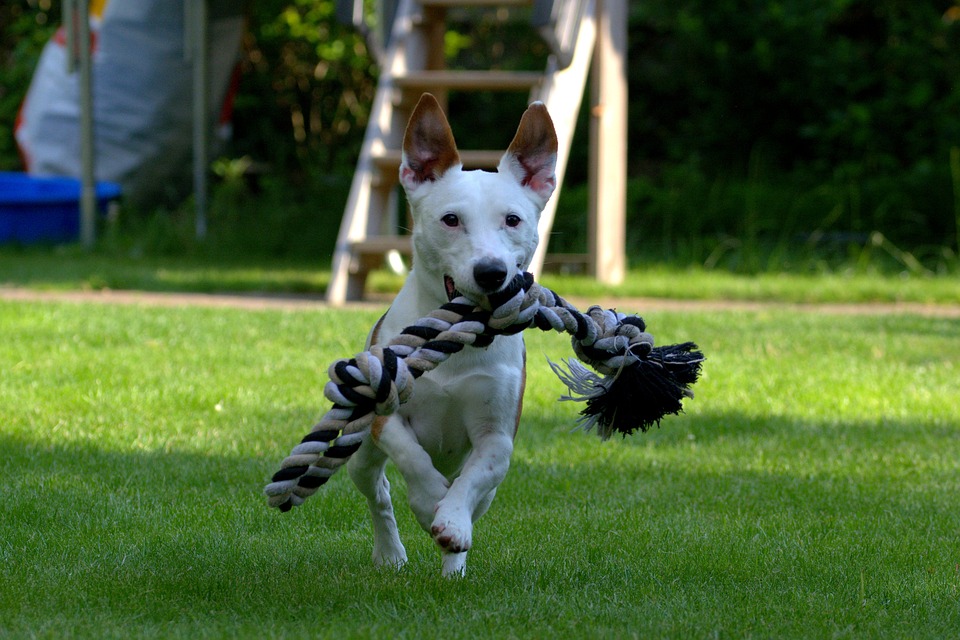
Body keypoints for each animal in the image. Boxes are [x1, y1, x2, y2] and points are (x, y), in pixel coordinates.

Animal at [344, 91, 560, 576]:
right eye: (450, 219)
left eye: (513, 220)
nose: (491, 272)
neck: (456, 347)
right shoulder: (387, 418)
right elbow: (413, 458)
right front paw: (429, 502)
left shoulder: (498, 435)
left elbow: (475, 479)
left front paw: (452, 522)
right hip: (360, 452)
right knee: (377, 491)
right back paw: (390, 552)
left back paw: (452, 567)